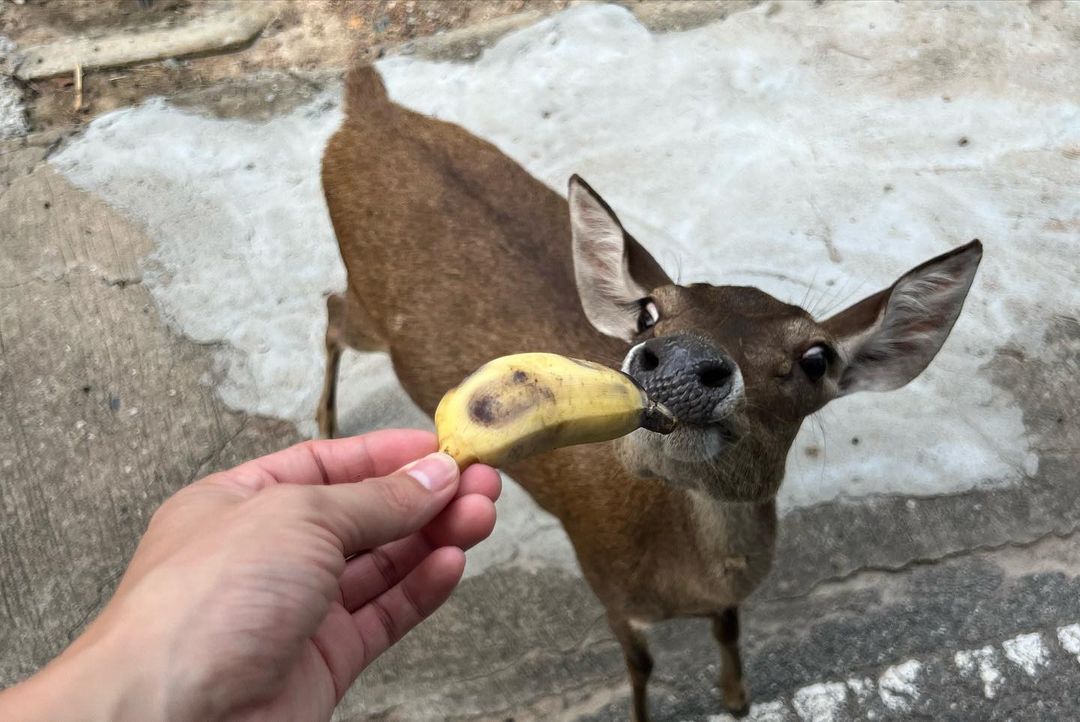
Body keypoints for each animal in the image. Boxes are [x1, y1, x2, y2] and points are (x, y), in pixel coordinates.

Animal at [315, 64, 984, 716]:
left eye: (816, 358)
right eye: (648, 312)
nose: (683, 363)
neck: (680, 571)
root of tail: (366, 104)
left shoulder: (718, 603)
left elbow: (729, 628)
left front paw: (736, 697)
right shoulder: (607, 585)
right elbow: (641, 667)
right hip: (369, 311)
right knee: (331, 308)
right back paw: (323, 423)